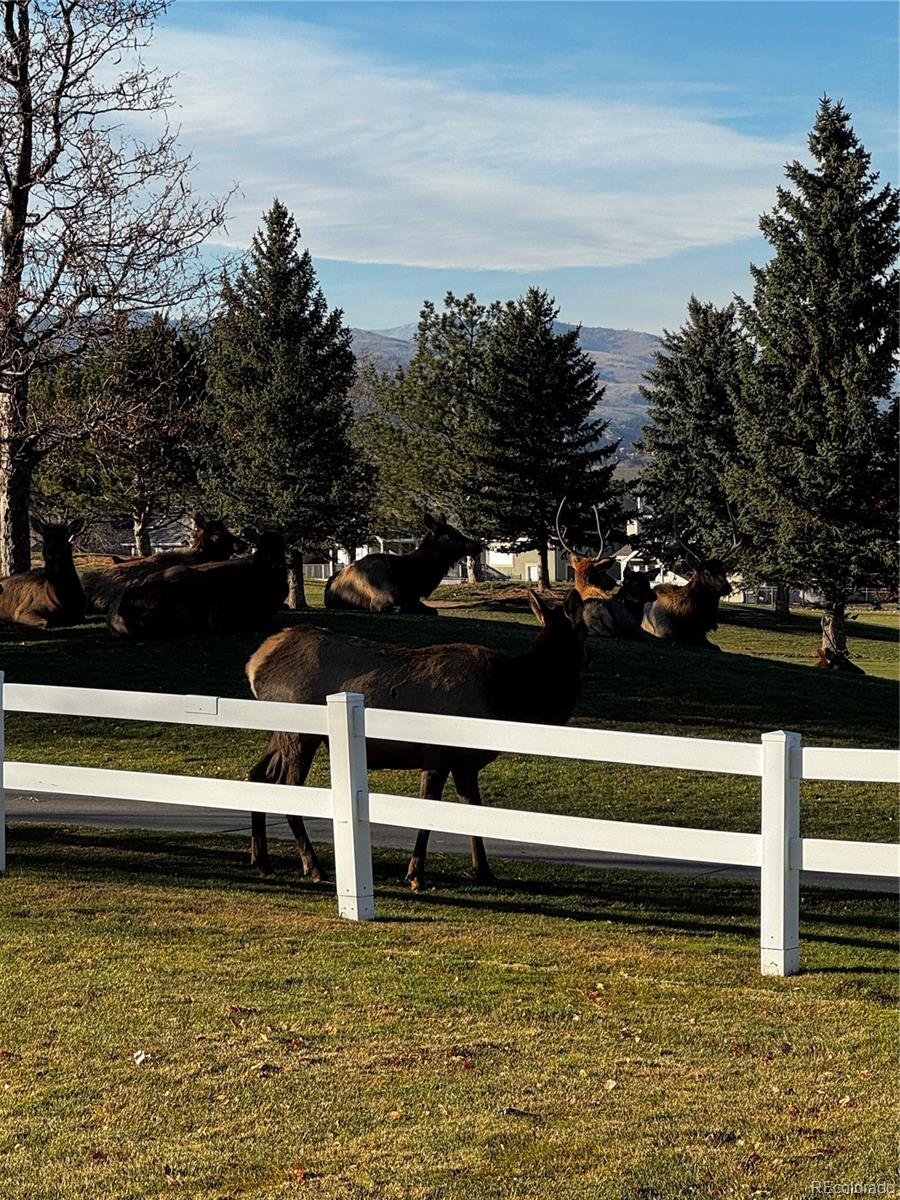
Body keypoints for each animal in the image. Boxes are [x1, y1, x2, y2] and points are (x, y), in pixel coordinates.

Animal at [244, 585, 592, 888]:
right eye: (586, 632)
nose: (588, 660)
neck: (508, 698)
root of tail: (254, 663)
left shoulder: (465, 762)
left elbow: (473, 810)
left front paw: (484, 871)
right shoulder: (437, 754)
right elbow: (429, 812)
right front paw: (414, 875)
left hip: (280, 732)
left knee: (256, 776)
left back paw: (262, 861)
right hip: (300, 732)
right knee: (286, 788)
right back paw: (314, 867)